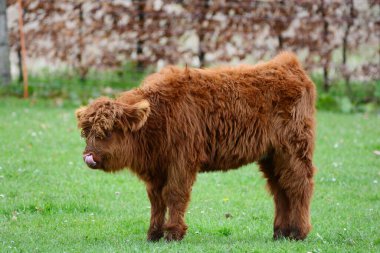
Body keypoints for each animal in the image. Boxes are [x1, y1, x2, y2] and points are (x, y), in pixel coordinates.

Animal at [76, 51, 314, 241]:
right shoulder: (156, 169)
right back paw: (281, 232)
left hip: (293, 150)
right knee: (280, 189)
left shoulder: (182, 161)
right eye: (86, 132)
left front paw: (173, 233)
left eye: (107, 131)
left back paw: (298, 232)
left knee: (298, 185)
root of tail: (288, 64)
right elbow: (156, 200)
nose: (88, 156)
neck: (158, 117)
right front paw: (153, 234)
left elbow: (174, 194)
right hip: (272, 156)